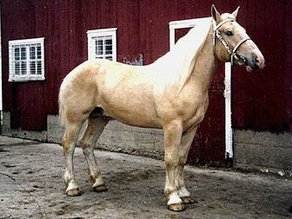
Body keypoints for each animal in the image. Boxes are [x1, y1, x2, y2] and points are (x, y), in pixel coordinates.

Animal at [58, 4, 264, 211]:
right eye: (229, 32)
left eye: (243, 30)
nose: (258, 60)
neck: (184, 81)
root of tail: (72, 72)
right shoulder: (172, 126)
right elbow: (170, 159)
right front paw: (173, 198)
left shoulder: (191, 128)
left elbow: (181, 159)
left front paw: (185, 194)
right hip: (76, 119)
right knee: (69, 146)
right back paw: (72, 187)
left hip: (99, 118)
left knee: (87, 144)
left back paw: (99, 183)